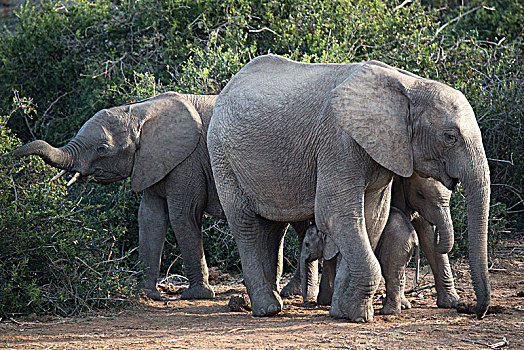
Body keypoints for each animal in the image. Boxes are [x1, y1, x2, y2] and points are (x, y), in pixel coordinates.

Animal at [12, 91, 225, 300]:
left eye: (102, 148)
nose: (11, 155)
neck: (142, 110)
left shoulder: (188, 161)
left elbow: (183, 215)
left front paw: (197, 295)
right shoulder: (153, 161)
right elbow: (150, 218)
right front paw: (146, 294)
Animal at [208, 53, 492, 322]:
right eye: (450, 136)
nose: (474, 310)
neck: (409, 85)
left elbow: (371, 218)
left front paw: (341, 311)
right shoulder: (339, 142)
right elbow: (337, 214)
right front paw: (359, 315)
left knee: (273, 227)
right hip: (223, 157)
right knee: (245, 225)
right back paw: (267, 309)